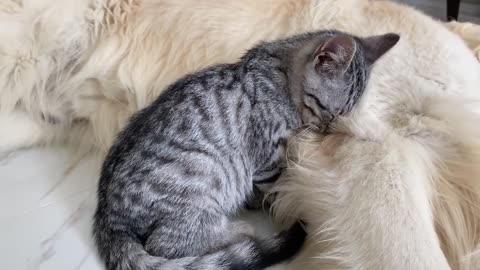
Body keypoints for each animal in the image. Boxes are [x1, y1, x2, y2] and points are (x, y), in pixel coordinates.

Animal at [93, 30, 398, 270]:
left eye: (342, 117)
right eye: (328, 111)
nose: (326, 130)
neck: (278, 75)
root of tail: (107, 215)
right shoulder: (267, 161)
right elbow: (276, 192)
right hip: (204, 179)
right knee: (164, 244)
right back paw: (239, 230)